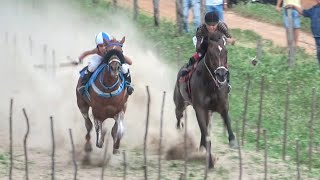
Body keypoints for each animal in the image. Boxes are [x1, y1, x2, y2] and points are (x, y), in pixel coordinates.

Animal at [174, 31, 236, 168]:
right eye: (211, 54)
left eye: (226, 52)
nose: (221, 74)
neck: (210, 85)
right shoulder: (200, 109)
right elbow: (206, 135)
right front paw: (210, 161)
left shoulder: (222, 105)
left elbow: (227, 120)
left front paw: (232, 140)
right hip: (180, 104)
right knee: (179, 118)